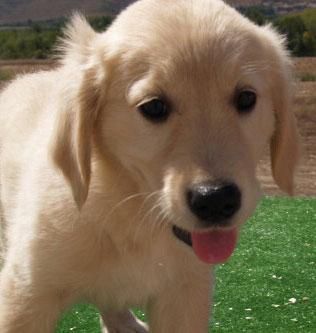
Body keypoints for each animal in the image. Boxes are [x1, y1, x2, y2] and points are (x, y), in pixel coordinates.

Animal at [0, 0, 298, 332]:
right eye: (154, 107)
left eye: (246, 98)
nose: (216, 199)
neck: (131, 212)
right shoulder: (26, 293)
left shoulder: (184, 297)